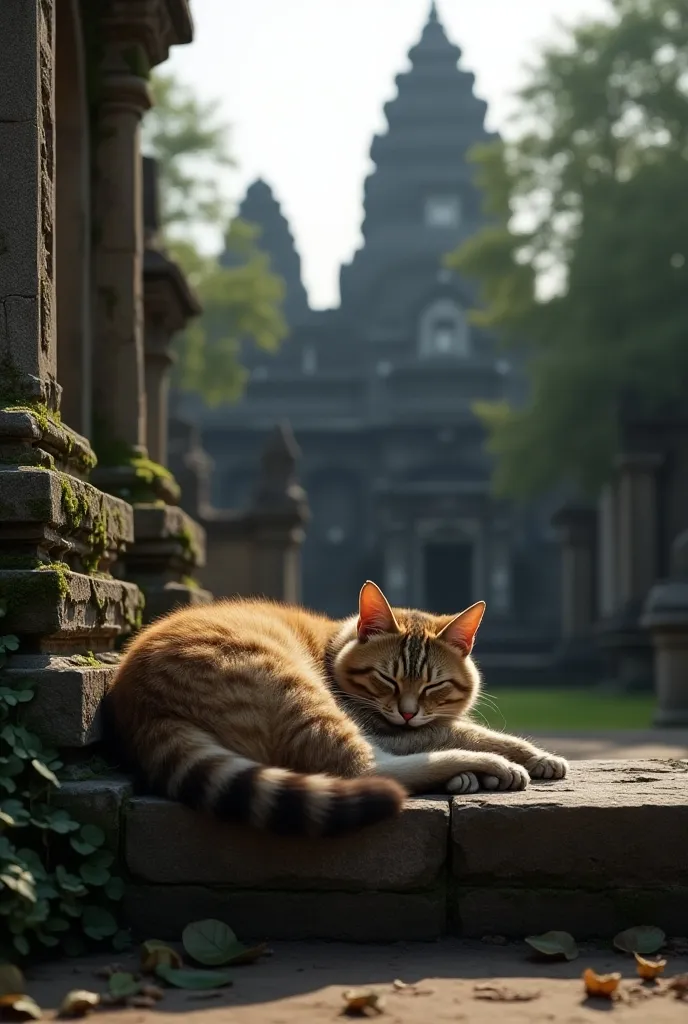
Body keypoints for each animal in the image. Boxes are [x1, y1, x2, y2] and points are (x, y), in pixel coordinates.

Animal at [104, 581, 565, 835]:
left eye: (434, 684)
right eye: (387, 679)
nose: (408, 711)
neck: (334, 646)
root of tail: (143, 703)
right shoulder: (383, 725)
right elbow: (466, 731)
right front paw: (530, 756)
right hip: (298, 692)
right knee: (367, 770)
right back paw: (484, 766)